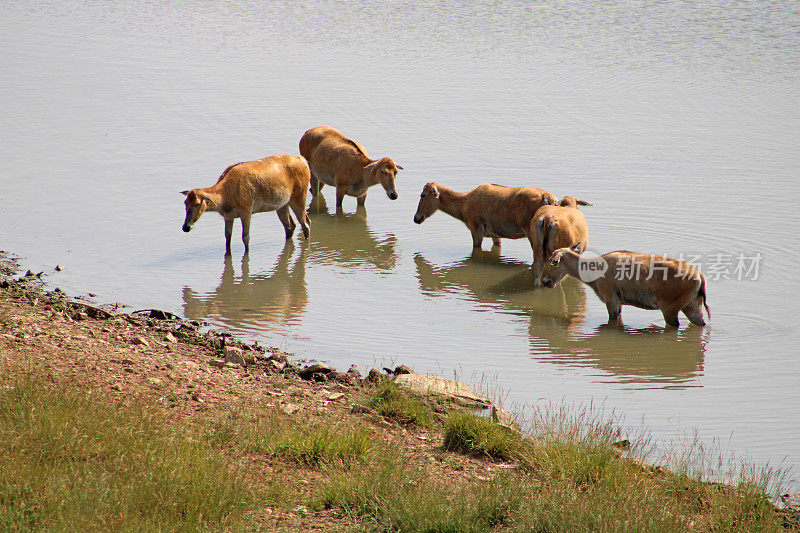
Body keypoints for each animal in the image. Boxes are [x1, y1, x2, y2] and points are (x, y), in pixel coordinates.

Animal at [181, 153, 310, 255]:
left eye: (197, 203)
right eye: (185, 203)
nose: (186, 227)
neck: (225, 197)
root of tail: (303, 160)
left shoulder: (246, 211)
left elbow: (245, 237)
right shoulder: (228, 216)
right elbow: (228, 236)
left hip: (299, 197)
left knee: (306, 223)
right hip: (282, 204)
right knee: (290, 226)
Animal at [412, 181, 556, 251]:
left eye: (423, 194)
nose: (416, 217)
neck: (463, 207)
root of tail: (548, 198)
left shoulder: (476, 228)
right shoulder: (495, 234)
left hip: (531, 231)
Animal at [540, 246, 708, 328]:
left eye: (552, 261)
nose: (545, 281)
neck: (593, 273)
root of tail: (700, 277)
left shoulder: (611, 299)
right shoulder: (619, 302)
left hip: (670, 308)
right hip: (692, 305)